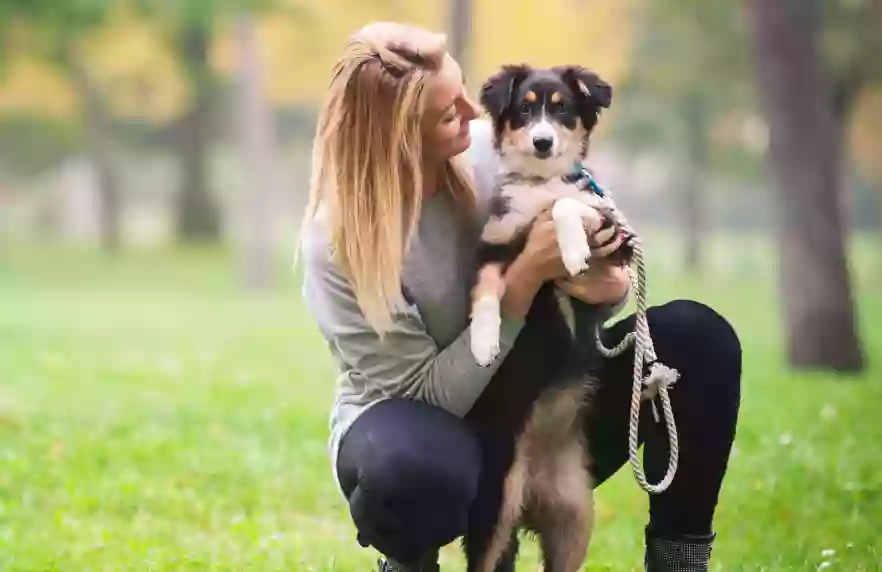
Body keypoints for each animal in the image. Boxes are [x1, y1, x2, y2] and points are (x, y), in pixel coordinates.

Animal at [460, 63, 620, 572]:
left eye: (563, 109)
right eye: (525, 109)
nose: (543, 142)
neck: (539, 182)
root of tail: (532, 488)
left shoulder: (612, 239)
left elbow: (569, 203)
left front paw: (570, 249)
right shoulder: (493, 245)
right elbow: (486, 291)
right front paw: (483, 343)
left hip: (576, 520)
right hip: (494, 507)